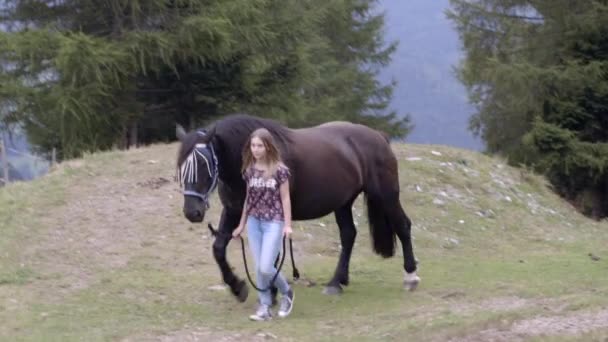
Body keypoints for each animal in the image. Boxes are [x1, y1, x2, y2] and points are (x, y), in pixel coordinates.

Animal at [176, 113, 420, 300]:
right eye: (181, 167)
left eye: (204, 164)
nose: (192, 212)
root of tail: (379, 136)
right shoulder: (234, 211)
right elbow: (219, 249)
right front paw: (238, 287)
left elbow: (272, 254)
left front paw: (271, 293)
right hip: (343, 203)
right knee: (349, 235)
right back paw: (337, 282)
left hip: (386, 196)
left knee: (403, 225)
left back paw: (411, 276)